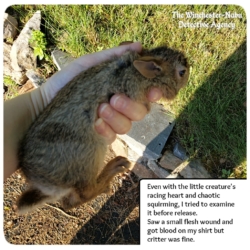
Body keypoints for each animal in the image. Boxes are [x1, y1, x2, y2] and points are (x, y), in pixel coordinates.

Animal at [17, 42, 189, 214]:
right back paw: (114, 170)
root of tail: (42, 184)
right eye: (182, 72)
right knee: (84, 194)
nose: (188, 73)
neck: (136, 72)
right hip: (89, 156)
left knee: (69, 202)